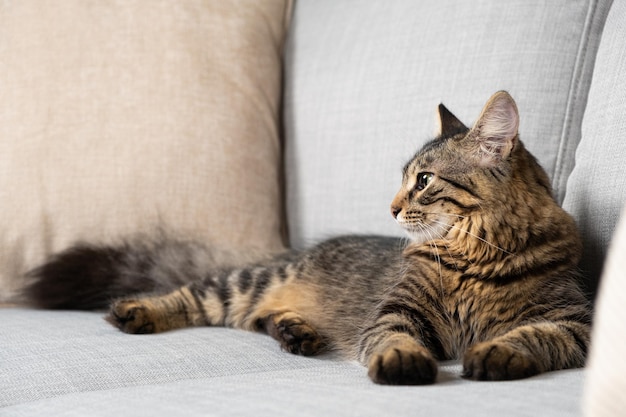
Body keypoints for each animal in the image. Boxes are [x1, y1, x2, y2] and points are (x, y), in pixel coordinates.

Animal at [25, 91, 588, 384]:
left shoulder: (573, 320)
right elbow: (394, 337)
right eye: (405, 179)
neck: (475, 257)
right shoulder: (399, 311)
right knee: (192, 295)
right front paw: (402, 363)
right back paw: (136, 311)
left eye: (424, 181)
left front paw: (495, 354)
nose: (391, 207)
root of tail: (300, 251)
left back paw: (298, 331)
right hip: (243, 283)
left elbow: (532, 335)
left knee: (258, 319)